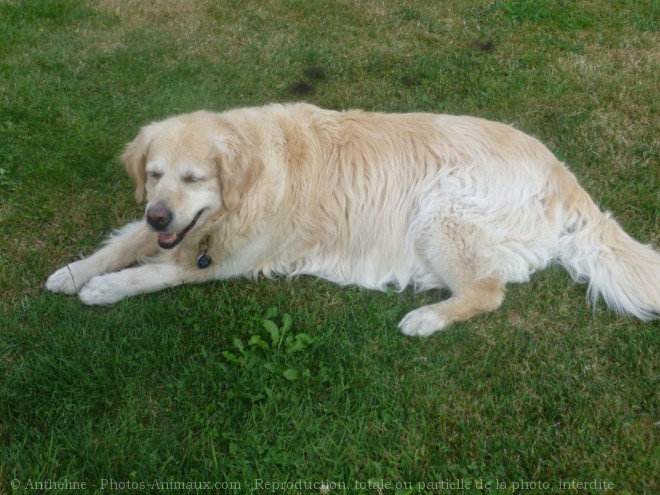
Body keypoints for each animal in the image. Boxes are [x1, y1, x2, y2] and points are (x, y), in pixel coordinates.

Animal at [43, 103, 656, 338]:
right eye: (152, 174)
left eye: (194, 178)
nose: (159, 212)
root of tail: (561, 170)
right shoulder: (172, 230)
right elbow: (122, 245)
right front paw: (74, 272)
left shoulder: (219, 261)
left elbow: (154, 273)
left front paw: (104, 289)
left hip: (441, 206)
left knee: (487, 290)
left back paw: (426, 318)